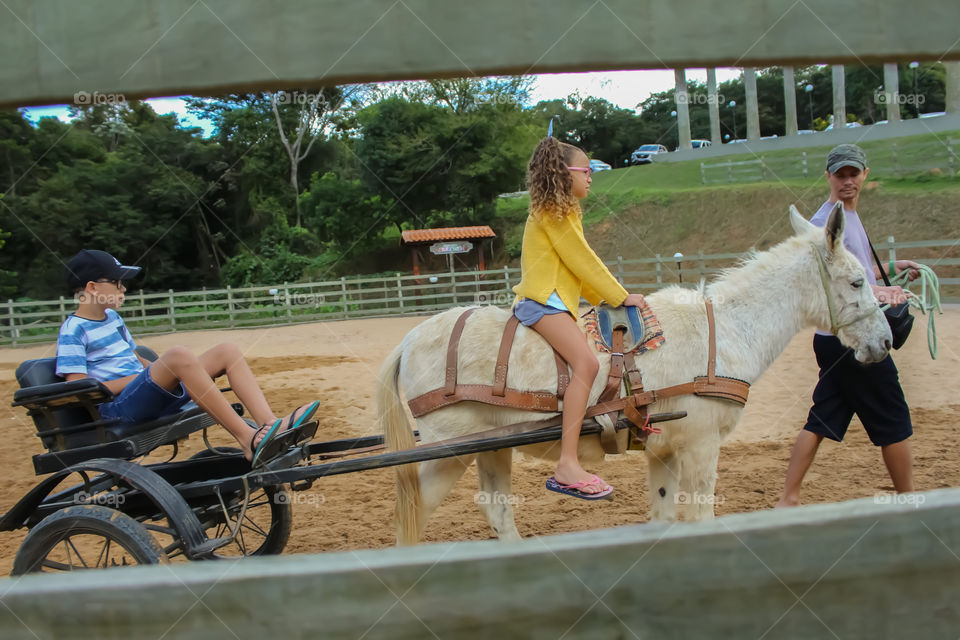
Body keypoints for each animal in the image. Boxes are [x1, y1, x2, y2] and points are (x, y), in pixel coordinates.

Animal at [376, 206, 892, 544]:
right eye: (857, 281)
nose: (885, 343)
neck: (723, 331)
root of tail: (410, 337)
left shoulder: (664, 452)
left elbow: (664, 519)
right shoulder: (701, 447)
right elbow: (701, 520)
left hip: (491, 448)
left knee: (497, 512)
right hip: (447, 453)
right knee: (413, 514)